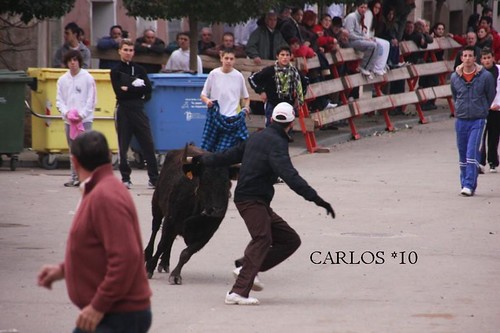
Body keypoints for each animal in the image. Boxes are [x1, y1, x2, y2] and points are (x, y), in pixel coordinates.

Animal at [144, 144, 239, 284]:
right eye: (205, 180)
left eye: (227, 182)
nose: (217, 211)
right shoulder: (169, 222)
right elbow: (161, 244)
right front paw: (149, 268)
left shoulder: (207, 235)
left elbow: (186, 253)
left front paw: (175, 275)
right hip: (156, 204)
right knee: (155, 229)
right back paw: (148, 255)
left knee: (170, 239)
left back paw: (165, 262)